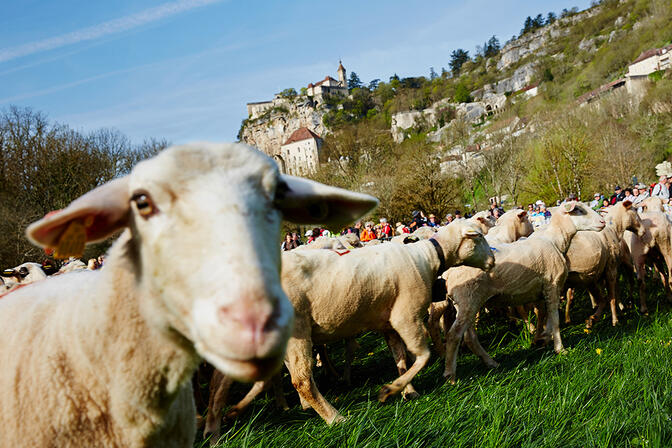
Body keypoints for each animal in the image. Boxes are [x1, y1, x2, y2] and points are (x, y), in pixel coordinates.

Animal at [278, 220, 494, 424]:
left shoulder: (389, 325)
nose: (493, 260)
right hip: (298, 331)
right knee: (302, 380)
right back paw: (335, 418)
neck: (428, 257)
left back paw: (307, 406)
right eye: (479, 237)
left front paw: (408, 391)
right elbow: (423, 356)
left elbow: (401, 359)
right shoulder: (406, 316)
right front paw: (389, 390)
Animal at [444, 201, 608, 384]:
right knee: (454, 335)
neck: (556, 241)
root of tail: (448, 272)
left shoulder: (542, 291)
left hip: (467, 303)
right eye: (578, 210)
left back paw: (491, 362)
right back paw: (451, 376)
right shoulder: (552, 285)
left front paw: (542, 338)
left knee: (469, 337)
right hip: (468, 299)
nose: (603, 222)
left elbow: (546, 317)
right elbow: (555, 319)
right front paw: (560, 349)